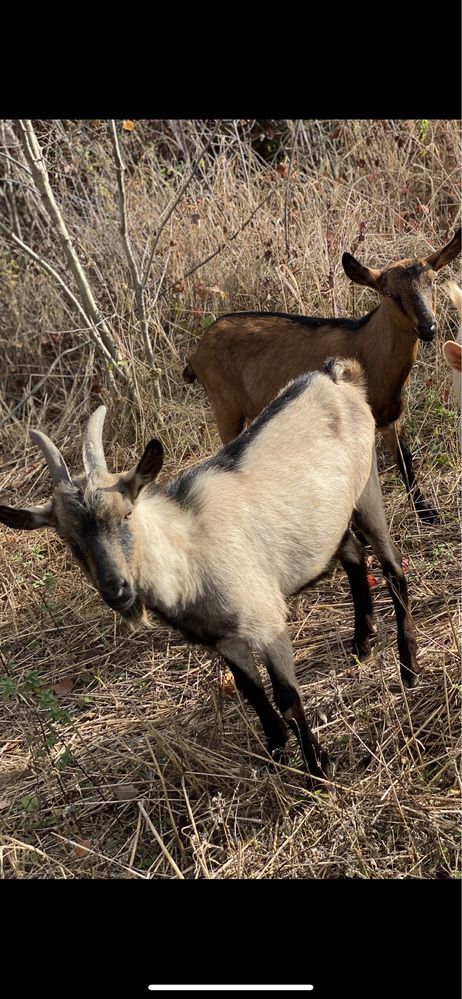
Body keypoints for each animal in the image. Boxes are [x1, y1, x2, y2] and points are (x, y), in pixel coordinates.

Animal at [182, 228, 460, 524]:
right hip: (225, 407)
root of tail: (196, 352)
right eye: (389, 292)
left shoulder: (389, 417)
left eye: (434, 281)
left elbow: (404, 460)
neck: (368, 347)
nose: (429, 327)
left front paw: (427, 513)